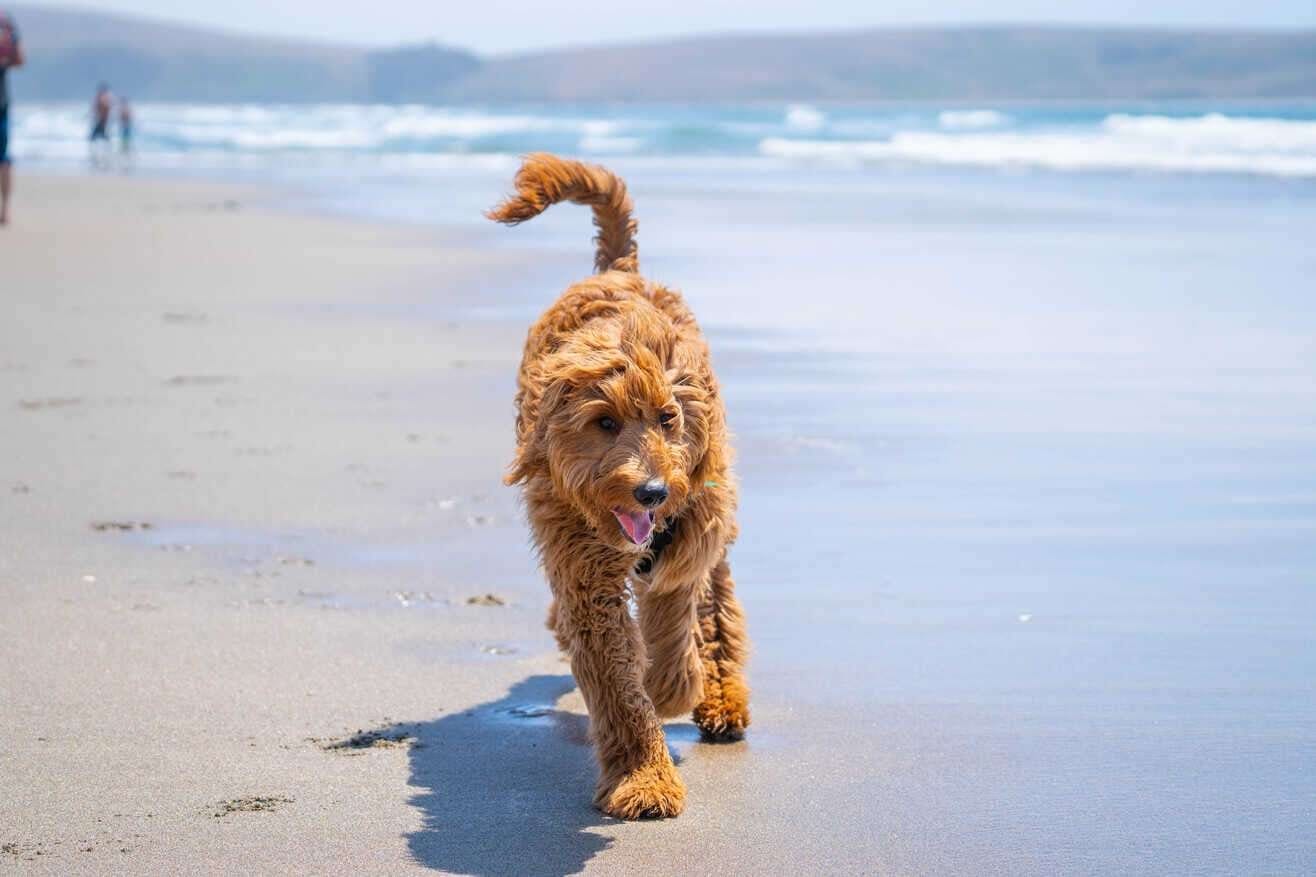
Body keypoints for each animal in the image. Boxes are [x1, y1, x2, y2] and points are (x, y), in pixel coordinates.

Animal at [489, 153, 752, 816]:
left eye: (668, 418)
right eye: (603, 422)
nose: (653, 493)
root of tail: (618, 270)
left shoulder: (691, 529)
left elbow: (677, 610)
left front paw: (673, 686)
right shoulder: (584, 570)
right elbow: (615, 681)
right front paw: (644, 777)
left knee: (716, 605)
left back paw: (720, 696)